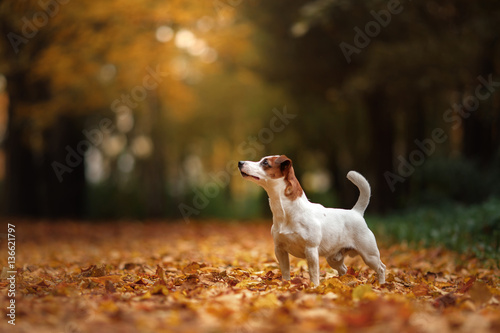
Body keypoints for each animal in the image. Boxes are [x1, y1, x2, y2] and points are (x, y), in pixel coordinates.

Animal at [238, 154, 386, 284]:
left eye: (265, 163)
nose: (240, 162)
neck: (287, 212)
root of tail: (356, 212)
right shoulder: (280, 250)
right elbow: (285, 271)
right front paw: (285, 285)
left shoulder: (311, 250)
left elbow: (313, 273)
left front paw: (314, 287)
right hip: (333, 258)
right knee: (343, 269)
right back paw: (342, 282)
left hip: (369, 255)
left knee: (381, 268)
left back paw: (382, 285)